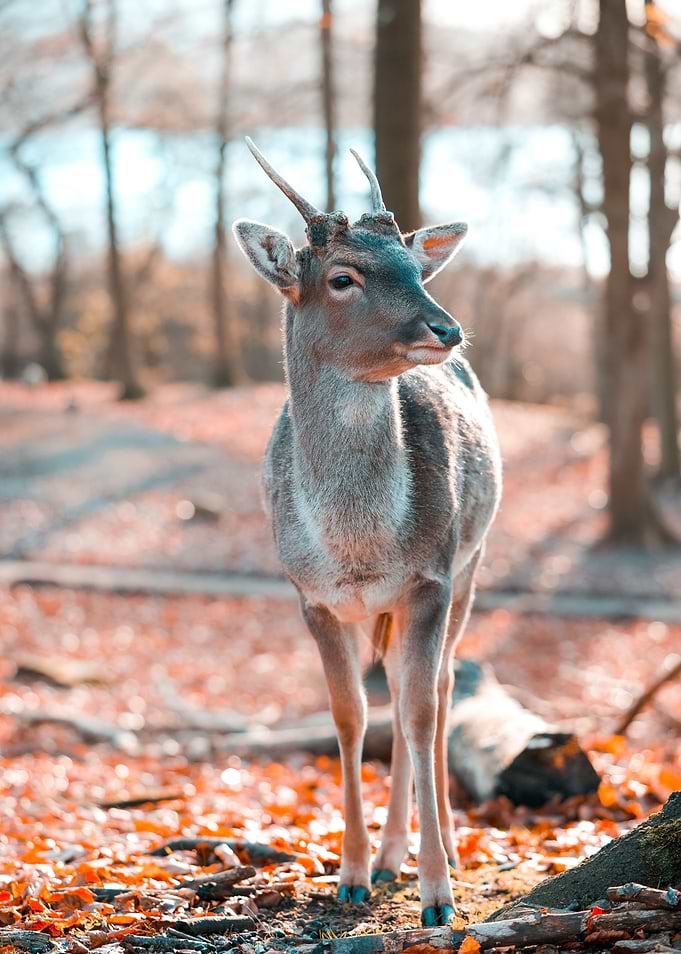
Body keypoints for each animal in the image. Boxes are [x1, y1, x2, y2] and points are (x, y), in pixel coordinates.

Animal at [233, 139, 501, 927]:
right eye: (342, 277)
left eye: (414, 265)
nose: (446, 329)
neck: (356, 550)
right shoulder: (311, 597)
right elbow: (349, 718)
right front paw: (350, 875)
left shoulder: (430, 577)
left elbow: (419, 711)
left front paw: (438, 894)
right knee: (400, 693)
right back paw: (385, 860)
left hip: (473, 563)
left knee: (439, 687)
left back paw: (431, 849)